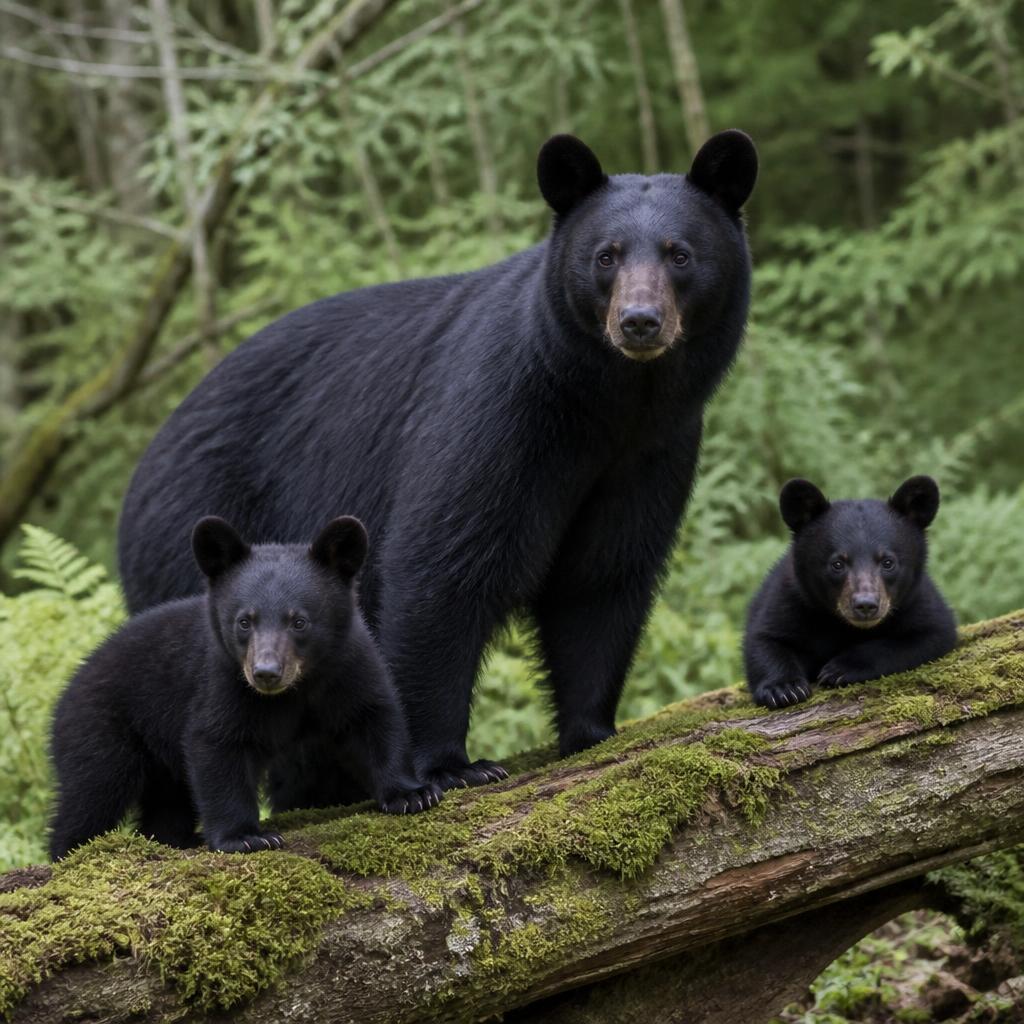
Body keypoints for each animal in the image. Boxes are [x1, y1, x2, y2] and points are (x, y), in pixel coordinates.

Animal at [49, 516, 441, 860]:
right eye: (244, 621)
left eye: (299, 621)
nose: (266, 672)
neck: (297, 689)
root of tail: (68, 690)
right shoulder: (222, 683)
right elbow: (217, 745)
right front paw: (246, 837)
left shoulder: (348, 668)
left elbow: (374, 718)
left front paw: (413, 794)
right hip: (101, 729)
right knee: (90, 796)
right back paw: (70, 853)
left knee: (167, 802)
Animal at [117, 129, 759, 794]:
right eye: (605, 256)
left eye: (679, 254)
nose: (639, 322)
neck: (606, 404)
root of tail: (143, 470)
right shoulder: (500, 419)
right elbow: (442, 570)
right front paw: (450, 764)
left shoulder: (651, 454)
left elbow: (602, 580)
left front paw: (592, 731)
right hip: (201, 540)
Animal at [744, 475, 958, 709]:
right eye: (837, 563)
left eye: (888, 562)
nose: (866, 605)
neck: (847, 627)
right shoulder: (790, 597)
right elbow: (764, 638)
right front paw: (784, 688)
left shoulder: (916, 600)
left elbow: (928, 635)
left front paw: (840, 668)